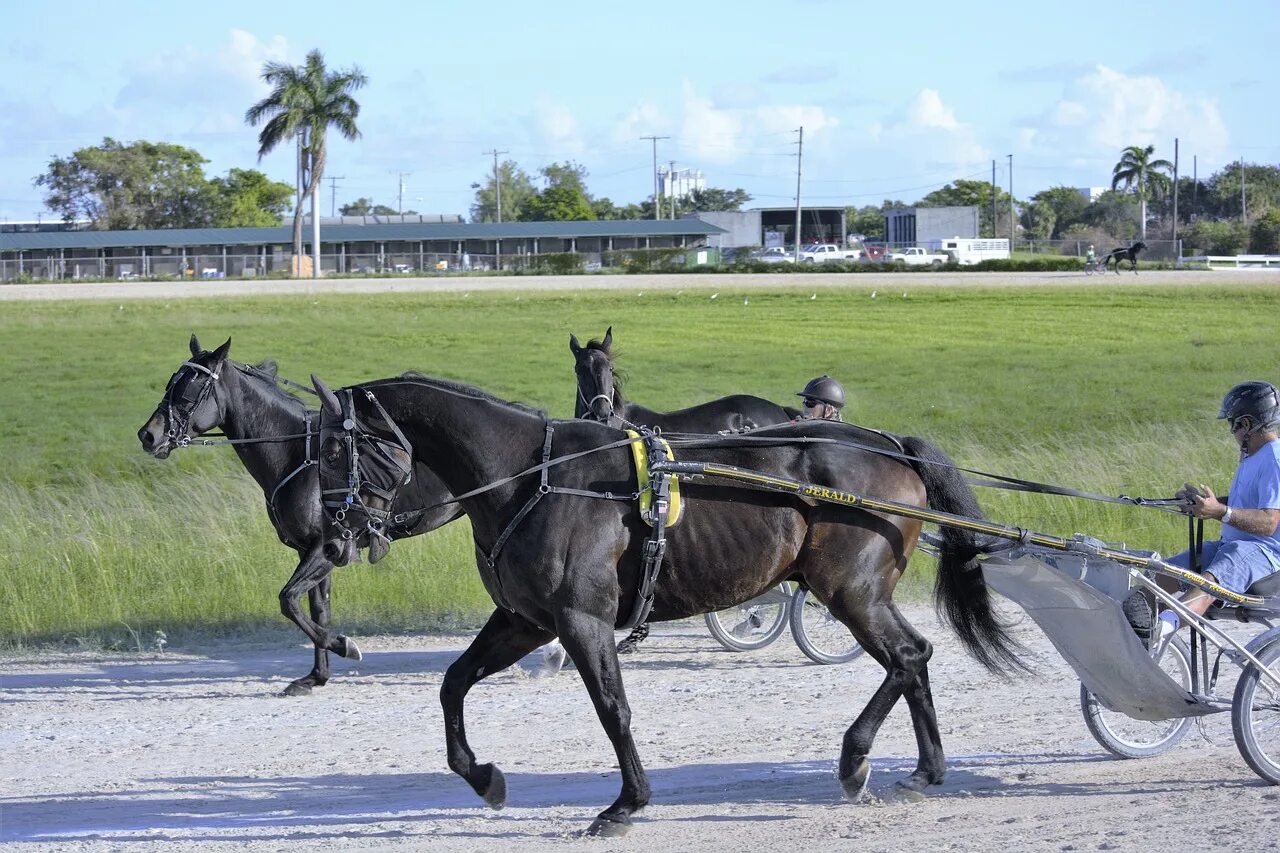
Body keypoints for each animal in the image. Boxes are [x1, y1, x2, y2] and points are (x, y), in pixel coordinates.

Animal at [135, 333, 463, 691]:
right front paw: (316, 676)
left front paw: (343, 645)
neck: (298, 454)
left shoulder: (327, 546)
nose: (148, 435)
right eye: (171, 383)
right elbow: (318, 609)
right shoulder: (310, 549)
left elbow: (288, 600)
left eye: (189, 390)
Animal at [307, 373, 1018, 835]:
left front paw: (627, 803)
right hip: (860, 591)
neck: (532, 478)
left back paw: (854, 759)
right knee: (914, 656)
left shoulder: (581, 620)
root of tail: (891, 446)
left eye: (337, 449)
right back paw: (924, 770)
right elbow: (453, 682)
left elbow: (612, 708)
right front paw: (484, 777)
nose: (332, 533)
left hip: (850, 589)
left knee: (905, 656)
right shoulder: (524, 621)